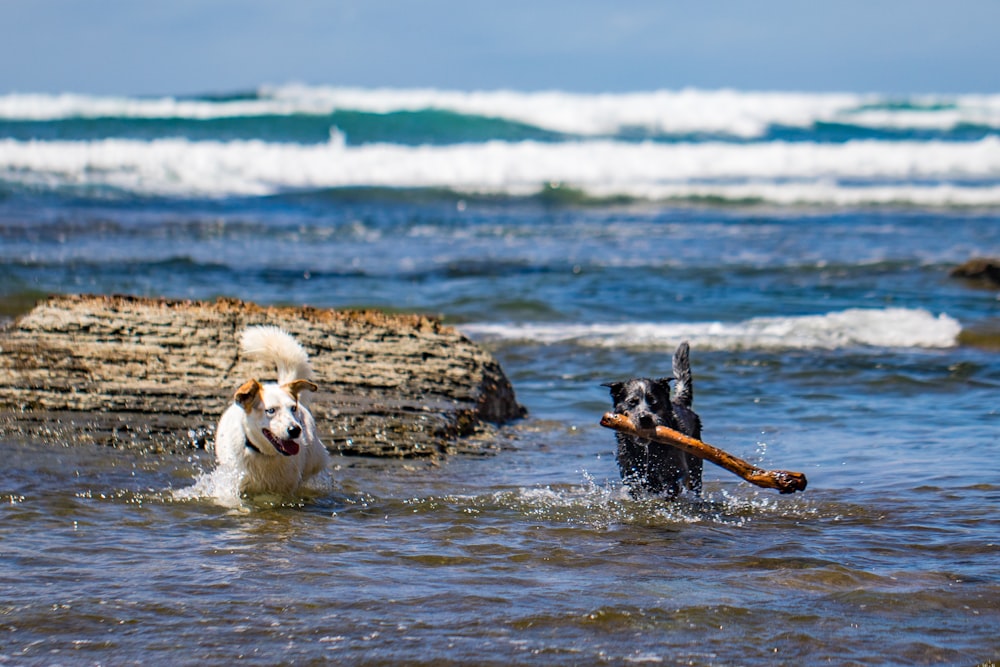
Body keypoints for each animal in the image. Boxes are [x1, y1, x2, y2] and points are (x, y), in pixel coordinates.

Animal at [215, 326, 332, 498]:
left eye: (293, 408)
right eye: (270, 410)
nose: (295, 430)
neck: (265, 455)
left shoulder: (286, 490)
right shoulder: (233, 483)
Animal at [600, 342, 704, 498]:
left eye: (653, 401)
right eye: (632, 402)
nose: (644, 418)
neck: (648, 450)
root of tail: (680, 403)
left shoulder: (675, 470)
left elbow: (672, 485)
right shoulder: (630, 472)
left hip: (695, 465)